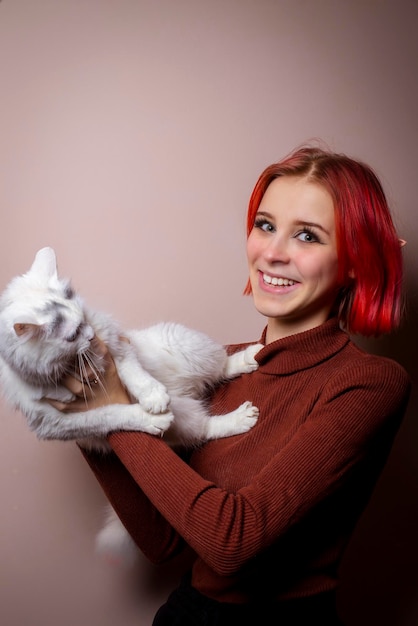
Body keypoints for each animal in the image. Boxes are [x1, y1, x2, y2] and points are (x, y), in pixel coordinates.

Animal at [0, 247, 262, 564]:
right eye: (72, 336)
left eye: (83, 318)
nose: (90, 337)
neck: (68, 366)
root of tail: (188, 391)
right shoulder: (57, 423)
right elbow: (111, 415)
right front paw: (150, 417)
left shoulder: (116, 344)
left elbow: (131, 371)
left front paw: (153, 397)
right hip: (184, 416)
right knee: (204, 428)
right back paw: (233, 417)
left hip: (187, 344)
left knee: (222, 367)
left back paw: (246, 363)